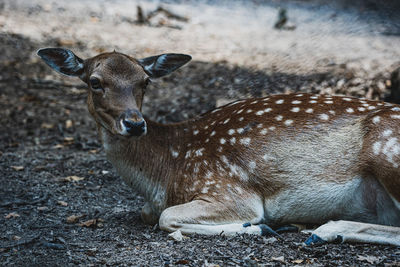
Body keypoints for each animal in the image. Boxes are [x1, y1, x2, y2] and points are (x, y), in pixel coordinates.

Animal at [36, 48, 398, 247]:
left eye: (145, 81)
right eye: (94, 82)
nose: (135, 123)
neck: (165, 174)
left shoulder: (227, 189)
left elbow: (166, 217)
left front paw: (259, 227)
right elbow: (150, 213)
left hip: (387, 149)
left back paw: (321, 231)